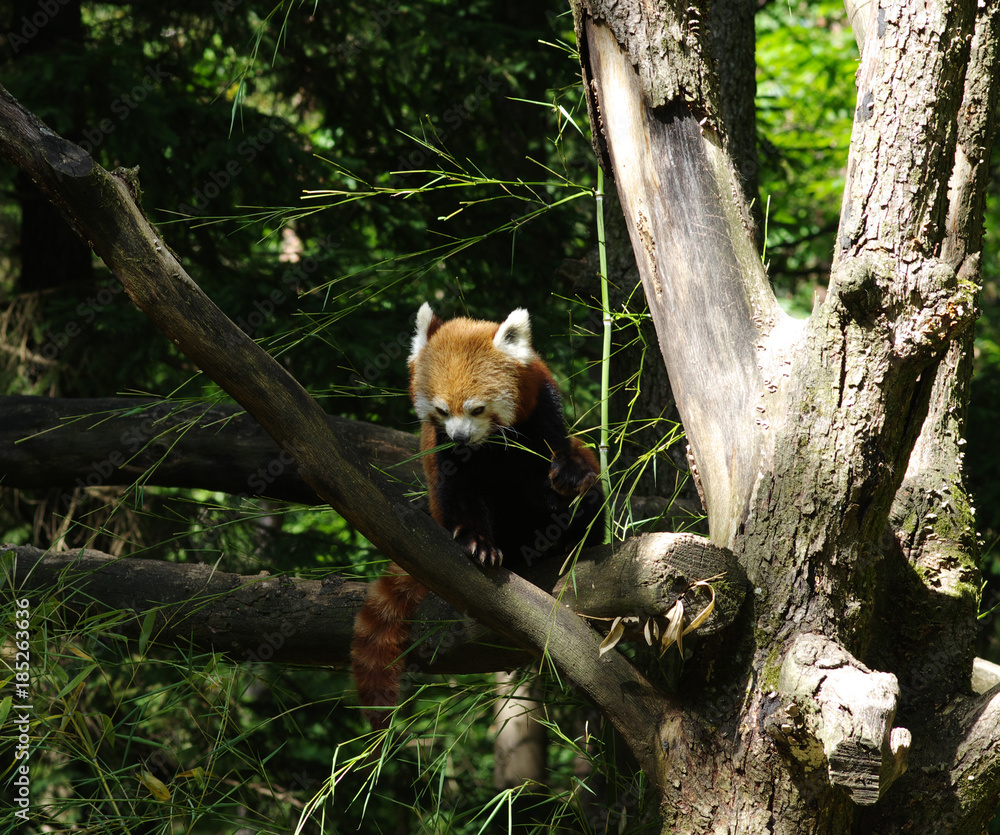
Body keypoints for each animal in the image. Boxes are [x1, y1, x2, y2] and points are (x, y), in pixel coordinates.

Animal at [352, 304, 600, 728]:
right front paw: (478, 545)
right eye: (442, 410)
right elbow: (463, 496)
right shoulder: (445, 456)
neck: (490, 445)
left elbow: (558, 465)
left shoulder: (542, 413)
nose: (460, 437)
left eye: (477, 408)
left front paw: (568, 477)